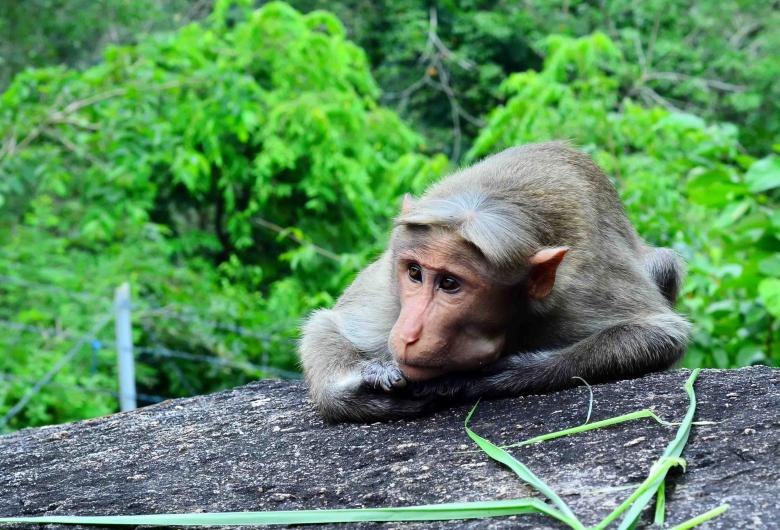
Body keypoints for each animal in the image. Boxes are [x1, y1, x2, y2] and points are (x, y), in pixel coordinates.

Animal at [299, 142, 690, 422]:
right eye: (414, 273)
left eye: (450, 284)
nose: (408, 334)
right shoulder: (389, 298)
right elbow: (328, 324)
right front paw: (358, 388)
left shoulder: (578, 290)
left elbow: (660, 333)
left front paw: (501, 373)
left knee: (664, 264)